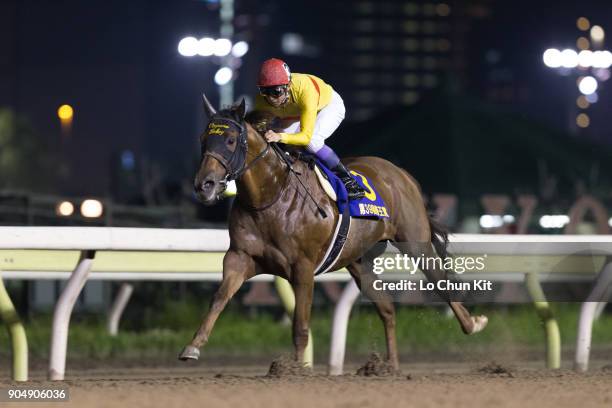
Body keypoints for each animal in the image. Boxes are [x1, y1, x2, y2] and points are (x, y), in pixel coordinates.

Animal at [178, 94, 488, 368]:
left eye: (230, 140)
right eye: (203, 140)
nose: (204, 185)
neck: (270, 197)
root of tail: (401, 174)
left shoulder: (302, 268)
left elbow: (300, 326)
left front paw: (294, 370)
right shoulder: (240, 257)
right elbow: (219, 299)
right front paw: (192, 346)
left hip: (414, 241)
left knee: (440, 282)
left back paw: (472, 323)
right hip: (359, 260)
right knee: (387, 308)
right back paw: (390, 367)